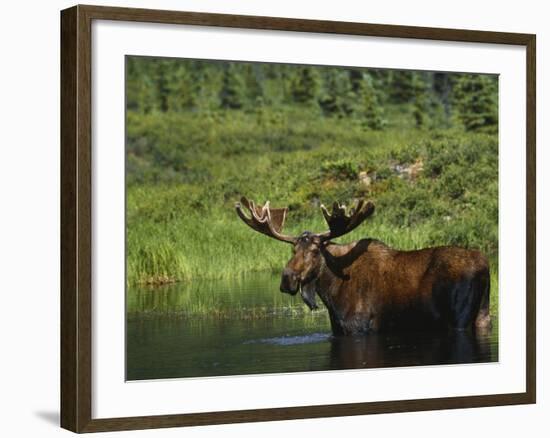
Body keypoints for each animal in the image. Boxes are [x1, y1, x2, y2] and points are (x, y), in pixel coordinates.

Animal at [235, 196, 494, 336]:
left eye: (315, 251)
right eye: (293, 250)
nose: (286, 279)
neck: (331, 292)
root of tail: (485, 266)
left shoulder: (358, 327)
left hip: (459, 318)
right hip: (483, 315)